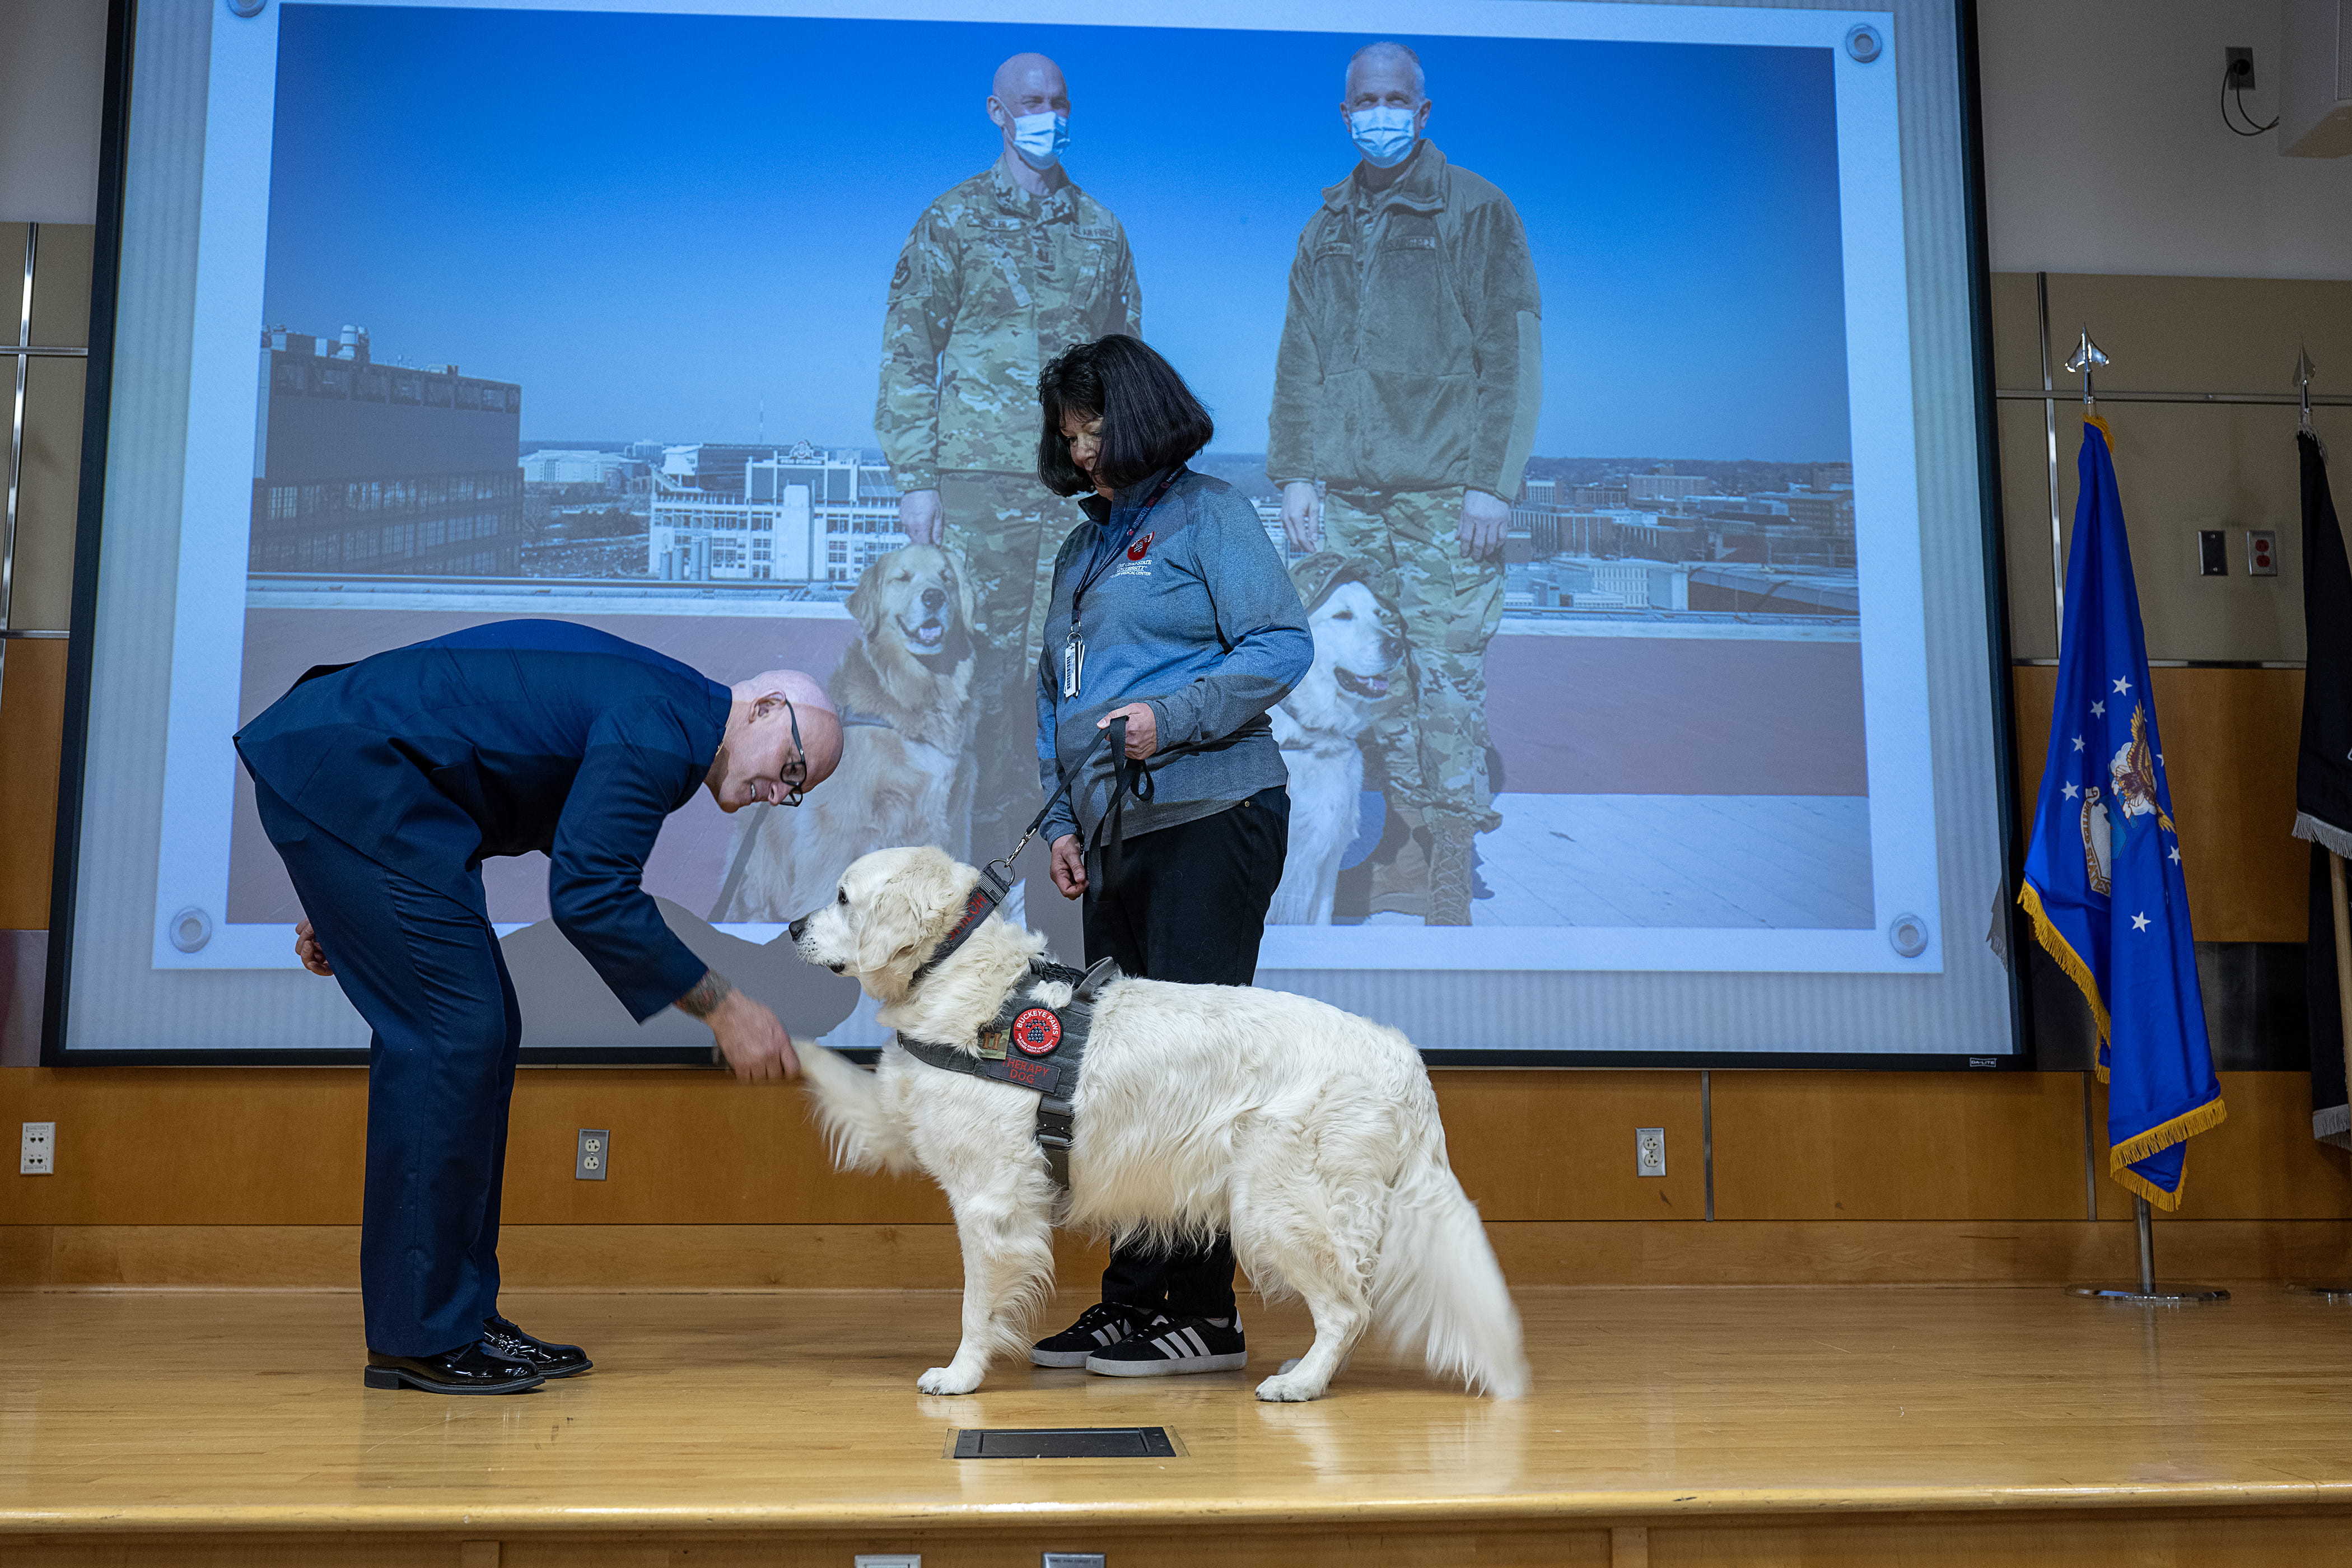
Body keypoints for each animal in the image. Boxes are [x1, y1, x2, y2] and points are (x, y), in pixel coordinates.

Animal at [785, 846, 1524, 1410]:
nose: (792, 927)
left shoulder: (990, 1200)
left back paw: (1302, 1383)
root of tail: (1403, 1057)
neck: (963, 976)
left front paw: (961, 1374)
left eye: (844, 897)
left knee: (1348, 1307)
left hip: (1275, 1205)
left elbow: (976, 1306)